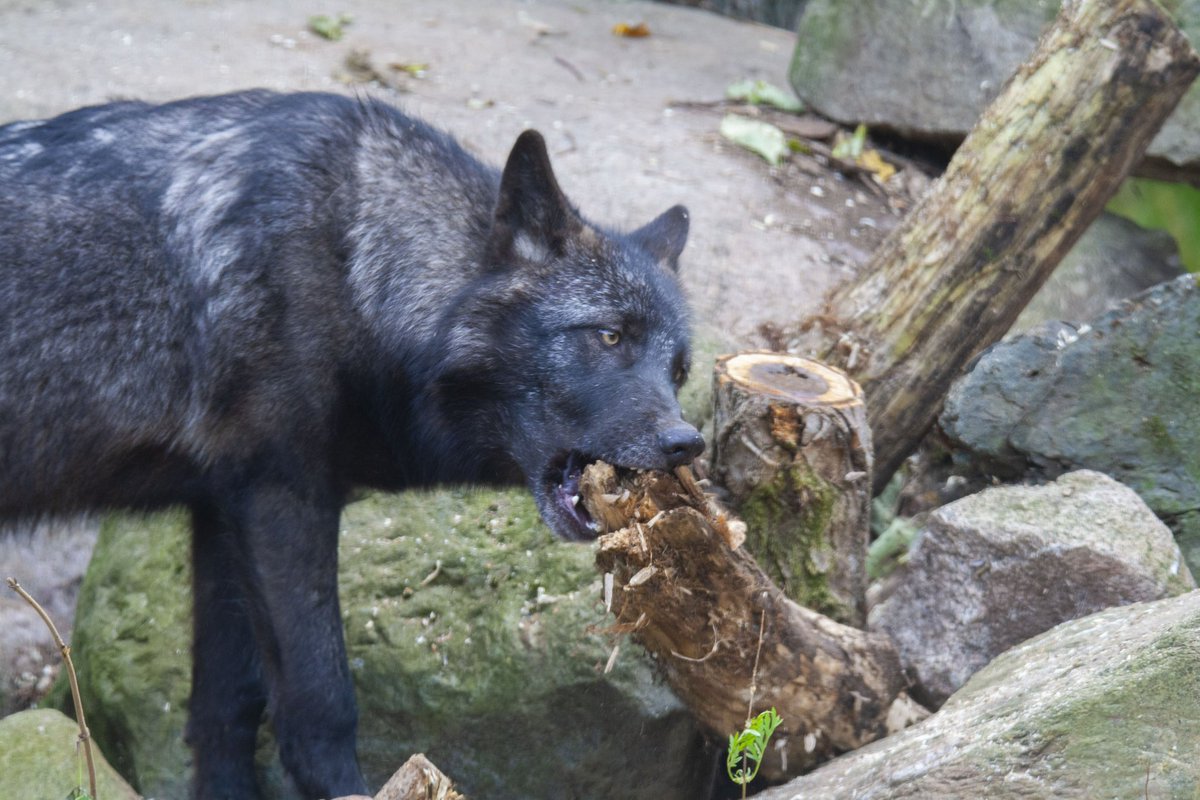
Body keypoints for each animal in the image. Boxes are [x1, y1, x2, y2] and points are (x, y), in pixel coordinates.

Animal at [0, 90, 703, 799]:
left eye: (678, 371)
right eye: (610, 335)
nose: (686, 443)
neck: (355, 264)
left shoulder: (223, 510)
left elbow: (226, 709)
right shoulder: (282, 501)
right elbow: (321, 700)